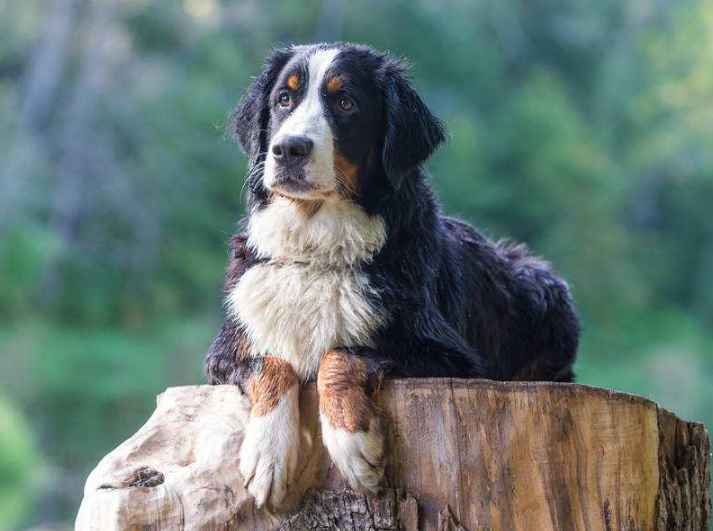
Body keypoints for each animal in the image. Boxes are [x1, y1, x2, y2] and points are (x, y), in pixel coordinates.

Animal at [202, 42, 580, 512]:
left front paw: (353, 446)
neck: (317, 249)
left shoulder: (449, 358)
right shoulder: (226, 349)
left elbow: (341, 355)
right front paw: (267, 456)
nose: (288, 149)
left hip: (542, 286)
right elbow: (271, 364)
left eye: (346, 103)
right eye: (284, 99)